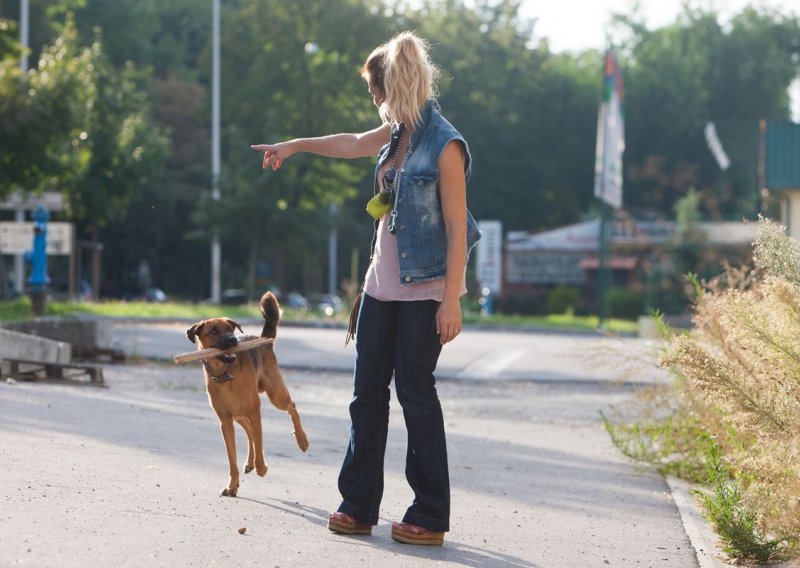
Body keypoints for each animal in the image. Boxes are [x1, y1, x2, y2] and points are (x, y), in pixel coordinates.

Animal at [188, 292, 310, 496]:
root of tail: (263, 339)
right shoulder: (225, 421)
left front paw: (262, 468)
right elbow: (232, 459)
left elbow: (260, 445)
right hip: (237, 414)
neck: (225, 374)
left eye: (230, 328)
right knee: (248, 431)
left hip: (275, 394)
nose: (233, 340)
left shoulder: (254, 412)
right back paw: (250, 462)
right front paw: (232, 485)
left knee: (291, 407)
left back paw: (301, 439)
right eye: (213, 331)